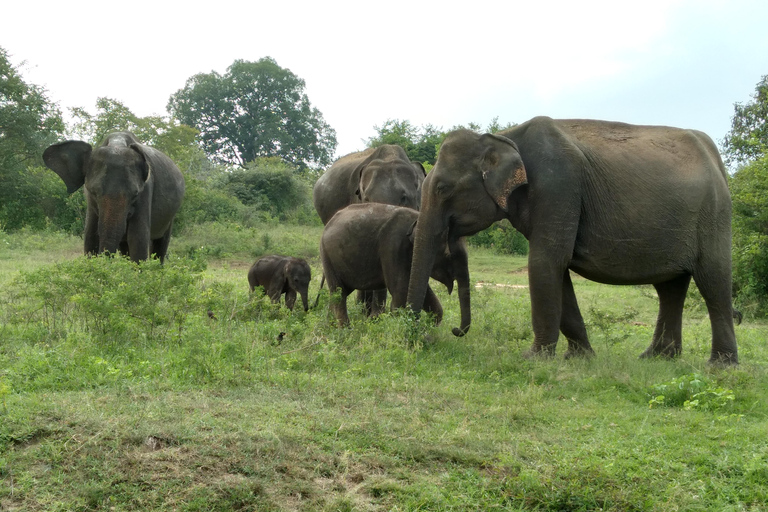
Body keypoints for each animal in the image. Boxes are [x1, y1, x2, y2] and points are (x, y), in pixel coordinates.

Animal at [43, 132, 186, 262]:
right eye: (94, 192)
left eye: (135, 194)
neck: (116, 143)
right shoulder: (89, 200)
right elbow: (90, 236)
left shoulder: (146, 191)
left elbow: (137, 237)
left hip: (171, 215)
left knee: (160, 244)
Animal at [318, 203, 462, 328]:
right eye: (449, 256)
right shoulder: (393, 247)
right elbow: (400, 291)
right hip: (327, 255)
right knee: (339, 292)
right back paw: (345, 331)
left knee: (339, 292)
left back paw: (329, 328)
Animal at [408, 117, 736, 364]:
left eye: (442, 188)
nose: (453, 331)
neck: (504, 136)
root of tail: (716, 158)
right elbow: (557, 270)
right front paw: (579, 358)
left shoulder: (557, 185)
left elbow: (544, 263)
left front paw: (532, 359)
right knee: (670, 287)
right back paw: (656, 358)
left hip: (714, 215)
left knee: (713, 280)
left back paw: (720, 366)